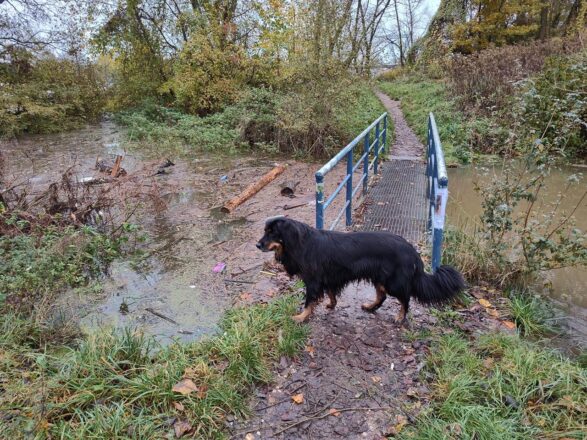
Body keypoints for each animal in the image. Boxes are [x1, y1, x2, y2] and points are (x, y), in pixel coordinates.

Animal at [256, 217, 464, 324]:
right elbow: (331, 293)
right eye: (265, 231)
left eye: (272, 233)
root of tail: (412, 251)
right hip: (380, 277)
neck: (301, 242)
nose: (257, 245)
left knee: (405, 299)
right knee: (382, 296)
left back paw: (400, 317)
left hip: (394, 281)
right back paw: (370, 307)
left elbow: (309, 301)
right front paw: (331, 305)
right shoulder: (328, 277)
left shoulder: (314, 281)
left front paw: (301, 316)